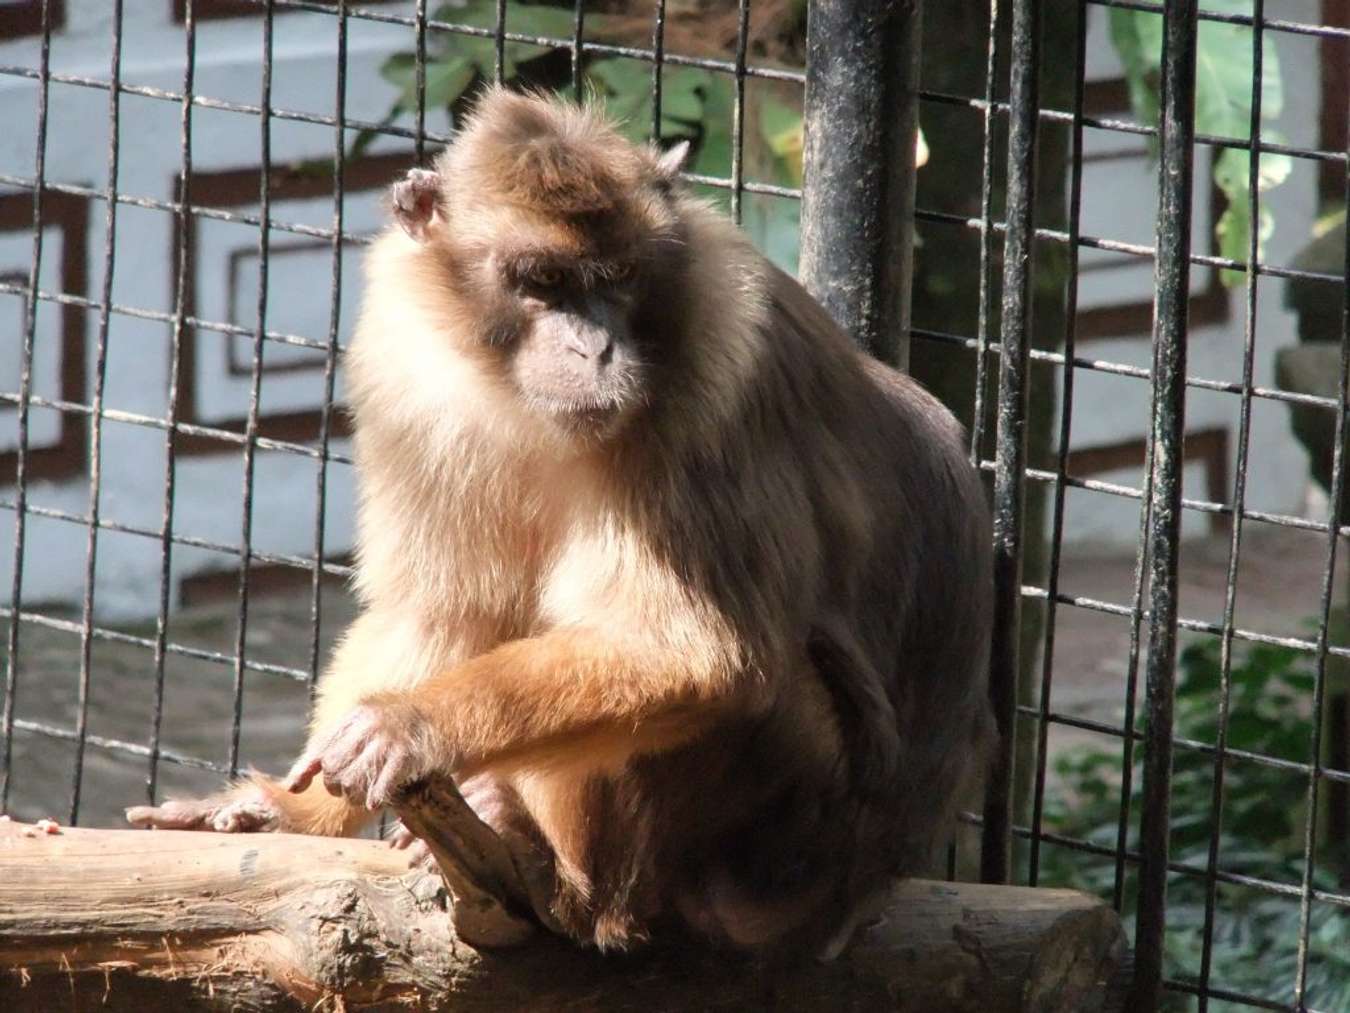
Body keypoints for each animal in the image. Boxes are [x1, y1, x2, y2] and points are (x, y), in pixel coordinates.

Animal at [128, 87, 993, 961]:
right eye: (542, 280)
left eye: (618, 279)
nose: (596, 350)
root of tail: (862, 896)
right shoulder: (404, 365)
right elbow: (441, 609)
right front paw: (292, 811)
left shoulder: (713, 375)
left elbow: (699, 654)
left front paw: (411, 725)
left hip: (788, 841)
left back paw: (562, 882)